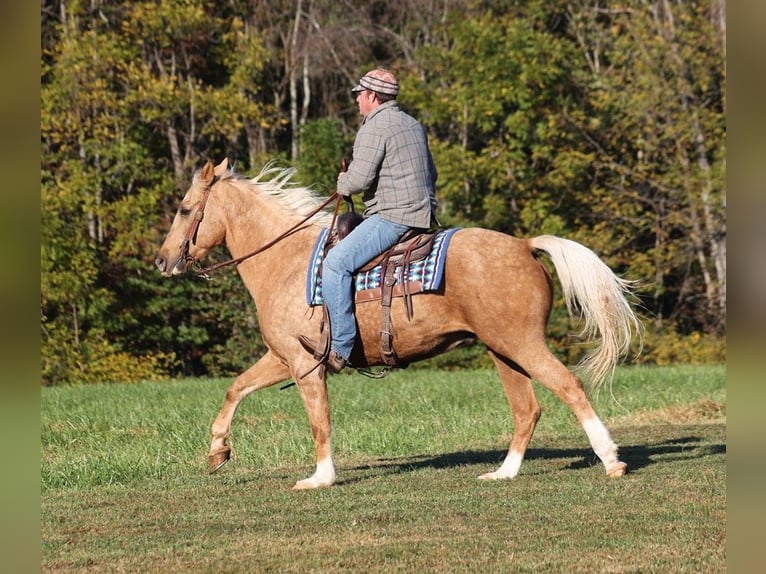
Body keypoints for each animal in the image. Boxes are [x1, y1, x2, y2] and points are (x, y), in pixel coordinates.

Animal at [155, 158, 642, 490]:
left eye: (184, 209)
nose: (162, 261)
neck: (286, 261)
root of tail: (524, 244)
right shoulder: (282, 357)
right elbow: (235, 388)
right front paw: (218, 451)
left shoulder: (303, 364)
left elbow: (318, 420)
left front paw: (320, 478)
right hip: (502, 350)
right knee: (527, 409)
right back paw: (503, 472)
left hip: (522, 345)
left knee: (569, 387)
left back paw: (611, 459)